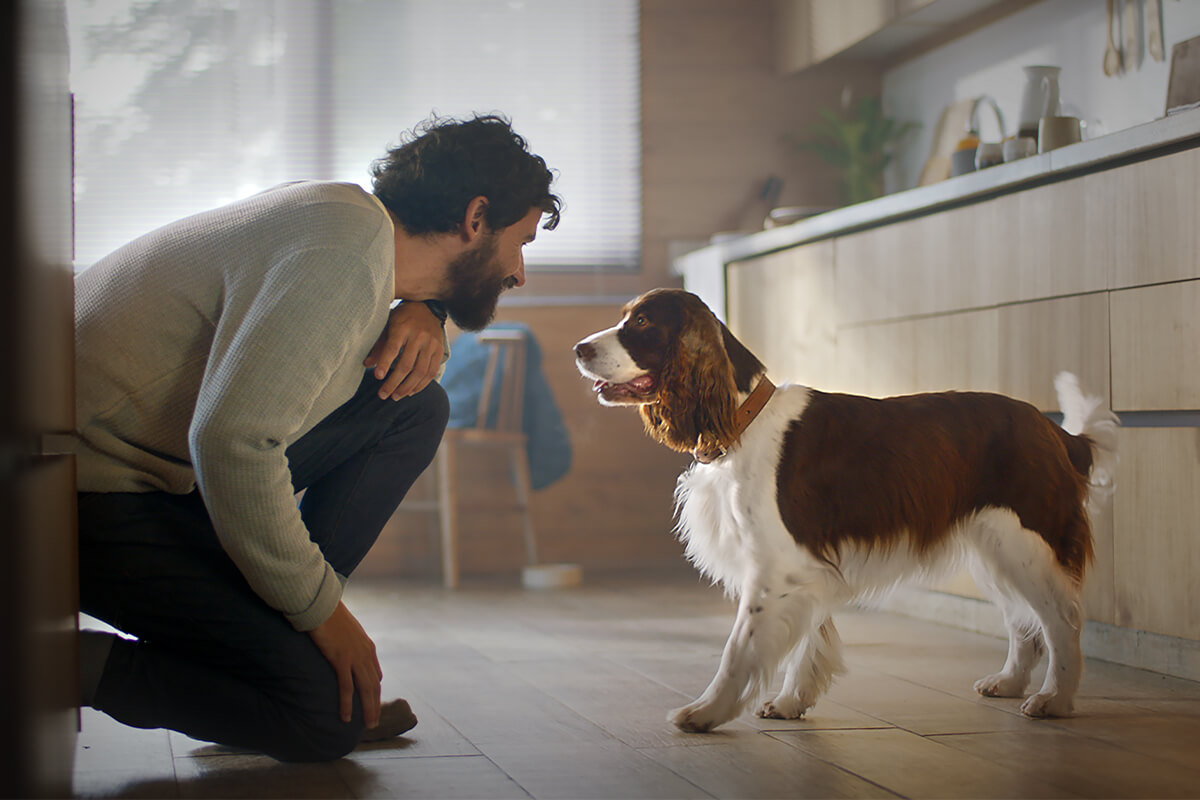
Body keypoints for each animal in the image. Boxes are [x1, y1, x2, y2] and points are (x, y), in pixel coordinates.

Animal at [571, 286, 1113, 734]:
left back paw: (1054, 699)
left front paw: (705, 712)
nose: (579, 349)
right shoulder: (805, 569)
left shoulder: (774, 570)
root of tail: (1055, 431)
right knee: (1024, 621)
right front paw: (790, 702)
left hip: (1029, 543)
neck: (742, 421)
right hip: (994, 547)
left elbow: (738, 649)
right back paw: (1009, 682)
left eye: (643, 322)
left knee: (1062, 620)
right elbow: (809, 638)